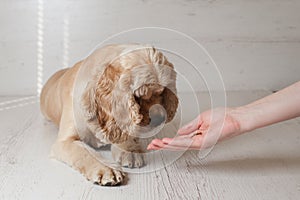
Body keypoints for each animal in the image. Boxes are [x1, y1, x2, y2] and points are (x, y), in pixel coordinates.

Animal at [39, 43, 178, 186]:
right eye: (139, 96)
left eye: (162, 91)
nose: (160, 119)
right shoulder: (65, 141)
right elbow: (85, 152)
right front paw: (107, 169)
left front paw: (130, 150)